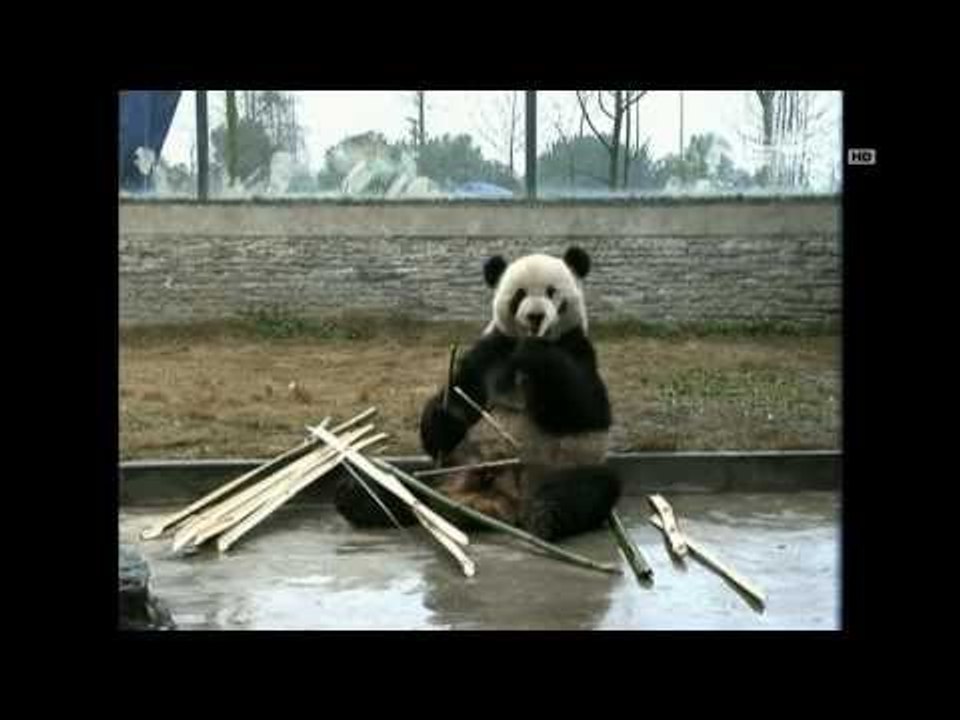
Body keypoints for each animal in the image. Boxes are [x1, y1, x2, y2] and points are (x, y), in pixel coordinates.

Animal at [334, 246, 620, 541]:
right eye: (520, 295)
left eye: (552, 292)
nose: (535, 317)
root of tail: (495, 503)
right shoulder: (492, 350)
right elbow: (460, 396)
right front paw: (445, 419)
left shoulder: (576, 347)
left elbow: (587, 409)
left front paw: (537, 354)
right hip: (448, 466)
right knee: (400, 480)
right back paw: (356, 494)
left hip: (559, 466)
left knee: (590, 487)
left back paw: (546, 517)